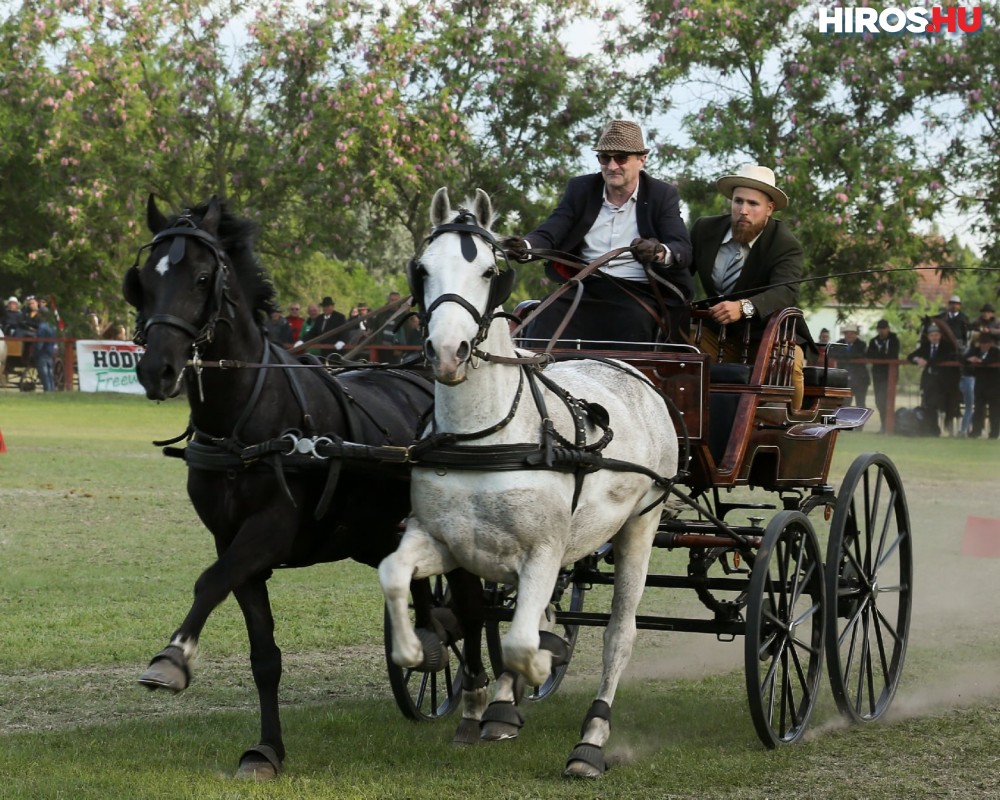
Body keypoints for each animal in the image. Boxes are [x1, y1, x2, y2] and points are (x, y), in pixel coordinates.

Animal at [123, 197, 486, 780]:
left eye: (202, 277)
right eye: (143, 280)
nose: (158, 370)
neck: (246, 419)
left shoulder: (268, 532)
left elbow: (208, 581)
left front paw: (172, 658)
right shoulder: (236, 545)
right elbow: (263, 655)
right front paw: (266, 749)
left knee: (473, 611)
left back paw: (482, 707)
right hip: (385, 535)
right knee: (434, 607)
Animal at [380, 186, 680, 776]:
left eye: (491, 271)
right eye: (421, 269)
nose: (447, 354)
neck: (485, 435)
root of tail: (633, 368)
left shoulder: (543, 549)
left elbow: (520, 641)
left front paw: (538, 667)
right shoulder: (443, 540)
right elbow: (399, 576)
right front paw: (417, 653)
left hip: (641, 523)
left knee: (620, 632)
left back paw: (591, 739)